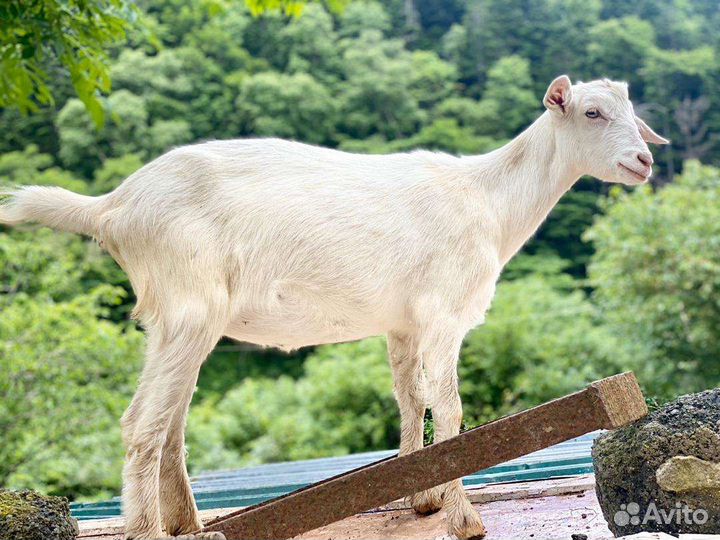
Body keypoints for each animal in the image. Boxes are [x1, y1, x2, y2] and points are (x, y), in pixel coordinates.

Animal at [0, 76, 668, 540]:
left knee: (170, 427)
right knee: (142, 425)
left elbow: (410, 398)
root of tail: (112, 207)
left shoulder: (404, 323)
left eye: (635, 116)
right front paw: (461, 516)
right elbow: (449, 409)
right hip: (188, 304)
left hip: (178, 321)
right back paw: (150, 530)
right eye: (591, 112)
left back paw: (191, 523)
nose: (644, 161)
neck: (487, 198)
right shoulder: (444, 315)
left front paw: (420, 496)